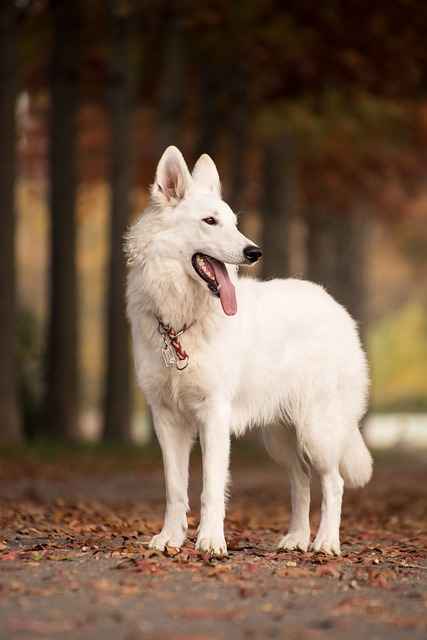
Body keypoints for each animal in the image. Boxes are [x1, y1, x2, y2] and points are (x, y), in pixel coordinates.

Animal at [125, 148, 372, 556]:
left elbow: (210, 488)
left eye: (234, 223)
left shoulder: (213, 415)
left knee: (332, 481)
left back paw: (325, 543)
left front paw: (210, 542)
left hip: (316, 430)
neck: (181, 322)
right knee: (301, 480)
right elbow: (175, 488)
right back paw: (296, 539)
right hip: (280, 437)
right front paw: (170, 538)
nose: (254, 252)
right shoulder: (166, 419)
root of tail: (335, 305)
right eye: (210, 221)